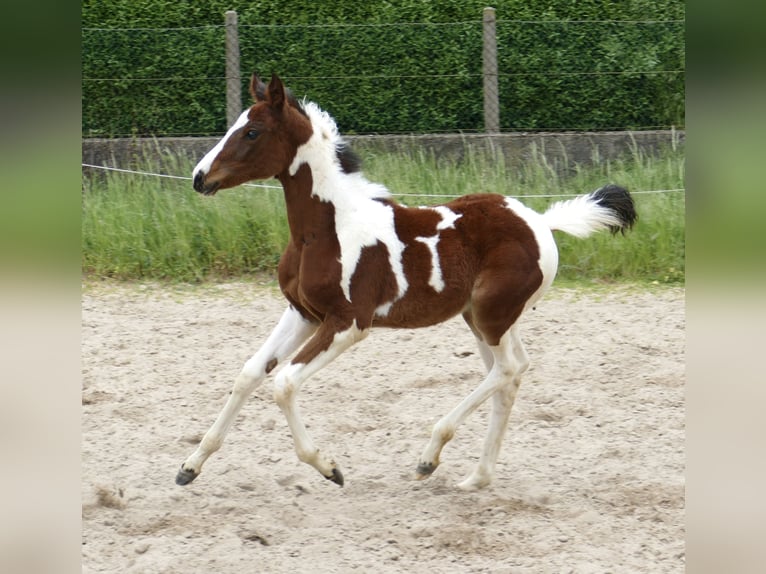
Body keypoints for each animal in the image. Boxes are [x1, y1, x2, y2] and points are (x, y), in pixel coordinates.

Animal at [177, 74, 640, 492]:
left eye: (252, 131)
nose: (200, 177)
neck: (325, 229)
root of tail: (541, 222)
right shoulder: (303, 313)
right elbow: (249, 374)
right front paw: (189, 466)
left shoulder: (348, 323)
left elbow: (284, 383)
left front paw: (329, 468)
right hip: (482, 318)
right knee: (509, 374)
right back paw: (477, 477)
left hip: (492, 315)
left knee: (509, 369)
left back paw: (429, 457)